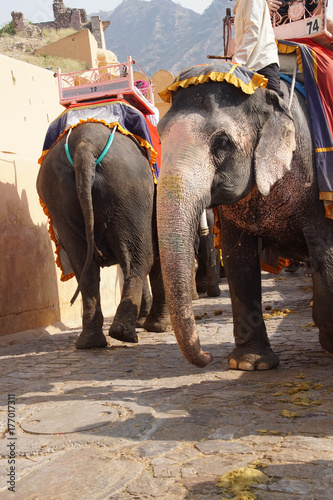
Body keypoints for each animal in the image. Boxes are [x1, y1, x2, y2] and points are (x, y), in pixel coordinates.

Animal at [37, 121, 170, 348]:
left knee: (85, 267)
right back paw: (122, 334)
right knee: (139, 259)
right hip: (128, 191)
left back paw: (91, 342)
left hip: (58, 198)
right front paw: (157, 327)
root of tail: (84, 145)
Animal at [156, 65, 333, 372]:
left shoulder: (314, 183)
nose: (207, 356)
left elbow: (324, 252)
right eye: (158, 134)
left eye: (222, 142)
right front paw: (250, 364)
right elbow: (238, 258)